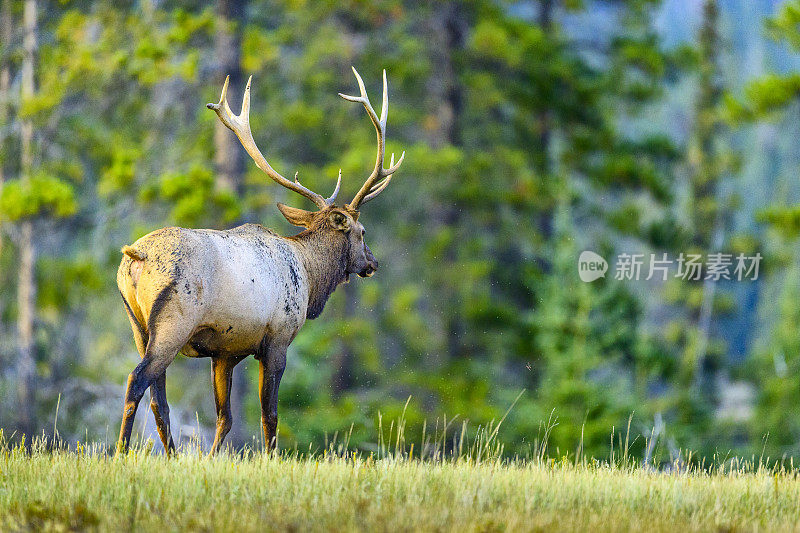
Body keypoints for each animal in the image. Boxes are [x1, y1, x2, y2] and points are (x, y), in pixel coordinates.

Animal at [115, 67, 404, 454]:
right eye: (362, 231)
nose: (372, 263)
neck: (311, 278)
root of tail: (136, 255)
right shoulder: (278, 338)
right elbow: (270, 415)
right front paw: (271, 457)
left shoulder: (225, 352)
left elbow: (225, 418)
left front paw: (212, 458)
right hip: (174, 321)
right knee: (138, 379)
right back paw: (120, 451)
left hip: (138, 326)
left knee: (159, 400)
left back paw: (172, 456)